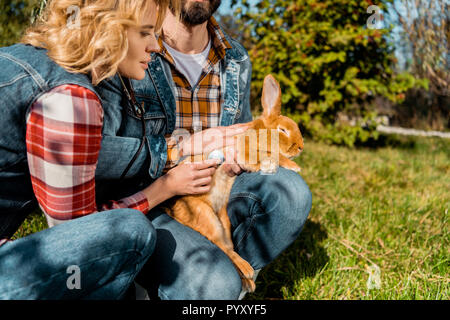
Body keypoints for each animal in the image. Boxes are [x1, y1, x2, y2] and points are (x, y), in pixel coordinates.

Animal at [160, 74, 304, 292]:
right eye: (283, 130)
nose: (301, 147)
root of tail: (174, 212)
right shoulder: (246, 151)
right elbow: (273, 155)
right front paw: (293, 166)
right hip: (205, 215)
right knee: (220, 246)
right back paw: (247, 271)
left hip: (224, 221)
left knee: (227, 246)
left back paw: (248, 281)